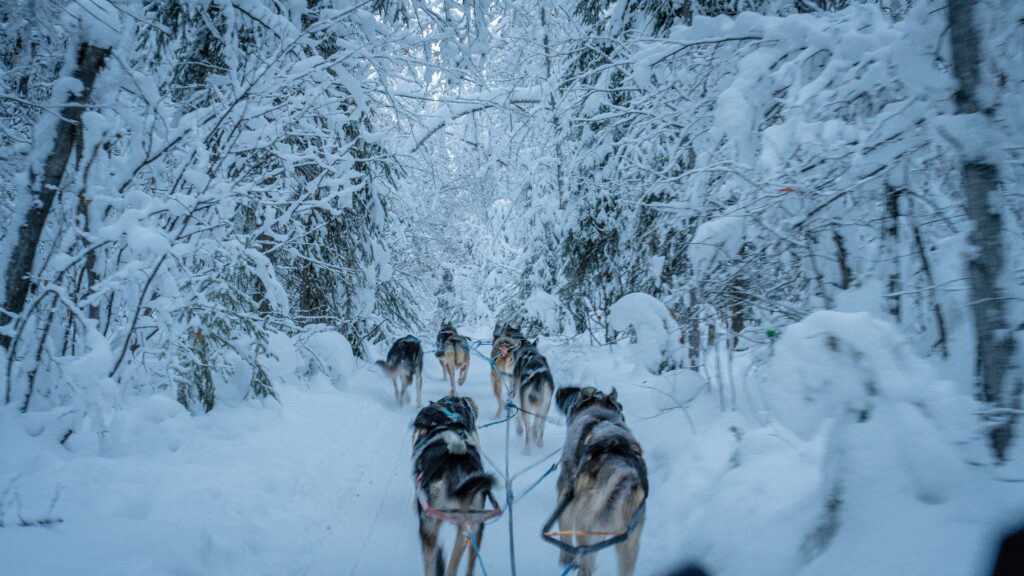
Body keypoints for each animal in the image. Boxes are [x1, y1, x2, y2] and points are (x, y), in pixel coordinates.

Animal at [552, 385, 647, 573]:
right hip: (628, 544)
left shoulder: (564, 498)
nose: (559, 391)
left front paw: (566, 559)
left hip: (585, 531)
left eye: (574, 397)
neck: (599, 414)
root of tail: (623, 474)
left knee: (586, 564)